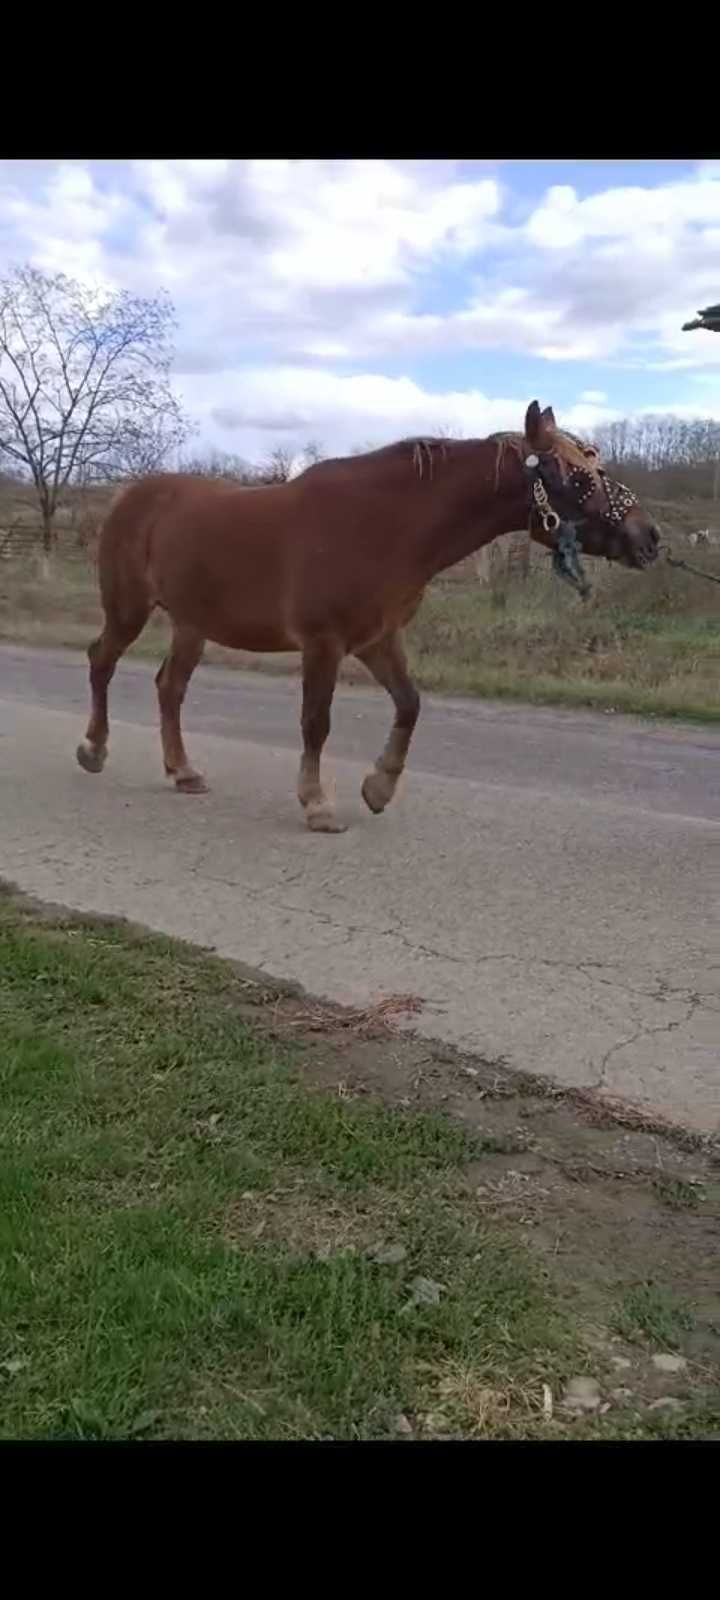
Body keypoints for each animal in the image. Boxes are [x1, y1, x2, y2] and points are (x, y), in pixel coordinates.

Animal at [77, 400, 659, 832]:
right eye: (576, 476)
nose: (647, 538)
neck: (382, 524)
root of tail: (132, 494)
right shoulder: (324, 643)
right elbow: (317, 722)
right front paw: (317, 804)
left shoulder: (377, 640)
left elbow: (410, 704)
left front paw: (378, 788)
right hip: (129, 609)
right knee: (102, 661)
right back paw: (94, 750)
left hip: (192, 623)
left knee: (170, 687)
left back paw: (183, 772)